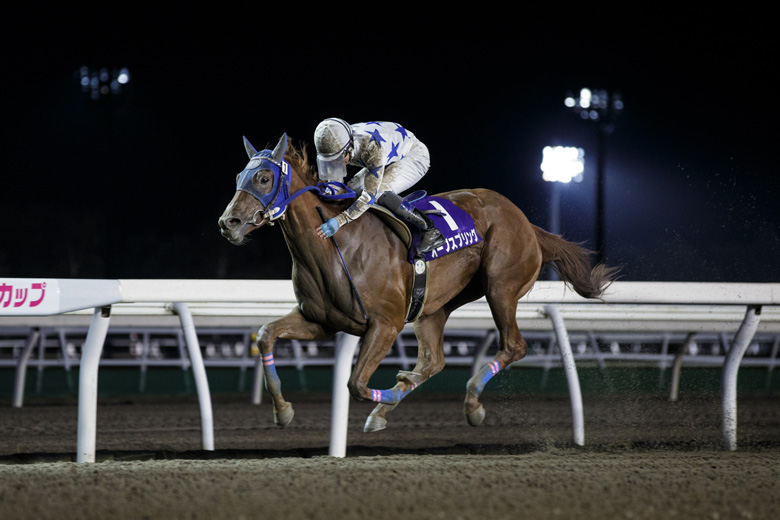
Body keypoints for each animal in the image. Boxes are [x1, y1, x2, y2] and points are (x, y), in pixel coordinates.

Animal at [218, 133, 618, 432]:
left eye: (264, 178)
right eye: (238, 177)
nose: (228, 223)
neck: (337, 245)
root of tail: (526, 223)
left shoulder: (386, 324)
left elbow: (356, 384)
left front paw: (395, 389)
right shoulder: (321, 321)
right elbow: (266, 334)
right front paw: (282, 410)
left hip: (501, 286)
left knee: (513, 346)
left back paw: (470, 403)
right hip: (433, 309)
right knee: (433, 361)